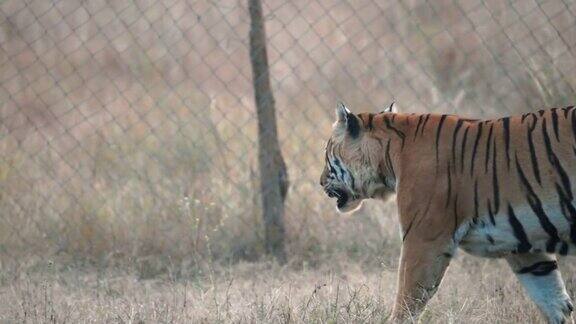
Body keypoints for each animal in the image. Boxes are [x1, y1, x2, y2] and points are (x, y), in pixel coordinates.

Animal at [320, 102, 576, 324]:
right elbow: (554, 300)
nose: (320, 182)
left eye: (327, 153)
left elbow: (407, 301)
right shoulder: (522, 247)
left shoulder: (423, 239)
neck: (390, 156)